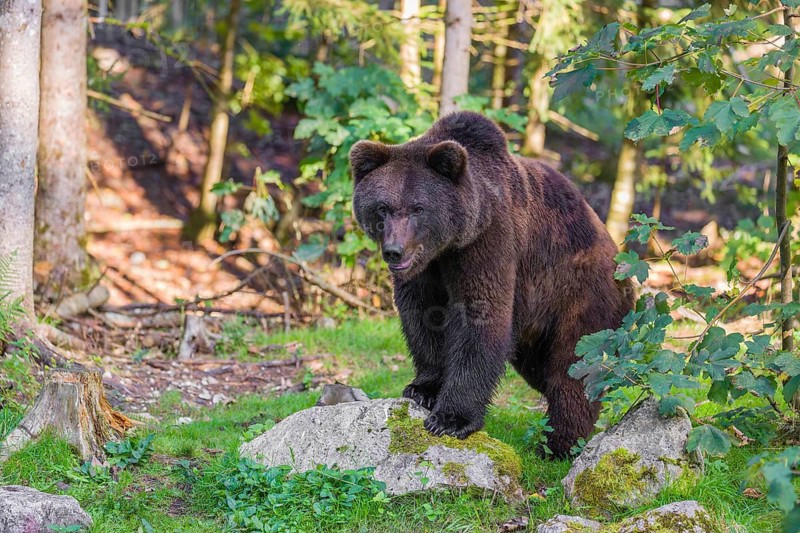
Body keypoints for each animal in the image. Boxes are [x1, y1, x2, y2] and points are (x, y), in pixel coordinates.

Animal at [350, 111, 633, 457]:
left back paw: (559, 443)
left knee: (573, 368)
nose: (394, 250)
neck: (447, 247)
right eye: (382, 207)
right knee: (542, 370)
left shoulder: (490, 241)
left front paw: (451, 419)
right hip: (536, 330)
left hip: (581, 295)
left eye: (418, 207)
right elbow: (422, 316)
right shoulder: (424, 272)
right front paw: (422, 388)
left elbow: (481, 314)